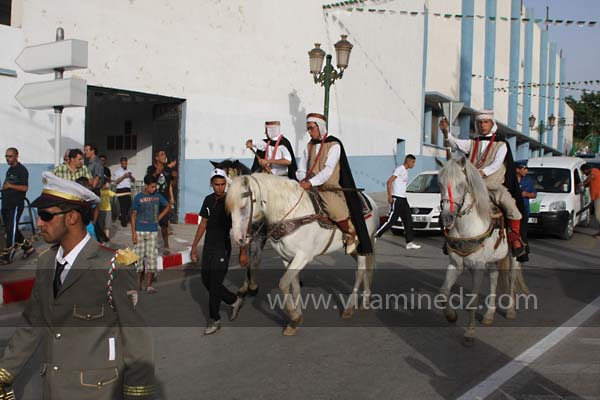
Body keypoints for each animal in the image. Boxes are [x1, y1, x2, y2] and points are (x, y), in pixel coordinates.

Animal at [227, 173, 378, 336]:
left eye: (243, 207)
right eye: (229, 209)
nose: (238, 238)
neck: (290, 213)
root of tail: (371, 202)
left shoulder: (302, 256)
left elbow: (283, 283)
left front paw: (294, 317)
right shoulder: (287, 258)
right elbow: (293, 286)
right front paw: (296, 319)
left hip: (362, 243)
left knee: (360, 271)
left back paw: (349, 308)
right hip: (356, 249)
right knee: (366, 268)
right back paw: (365, 300)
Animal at [436, 158, 524, 346]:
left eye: (461, 184)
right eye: (439, 183)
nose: (447, 218)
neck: (466, 228)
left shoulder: (477, 267)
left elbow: (473, 300)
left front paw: (469, 333)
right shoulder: (455, 264)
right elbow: (443, 292)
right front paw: (451, 316)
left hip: (513, 256)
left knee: (511, 277)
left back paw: (510, 310)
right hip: (491, 260)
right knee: (494, 277)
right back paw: (489, 314)